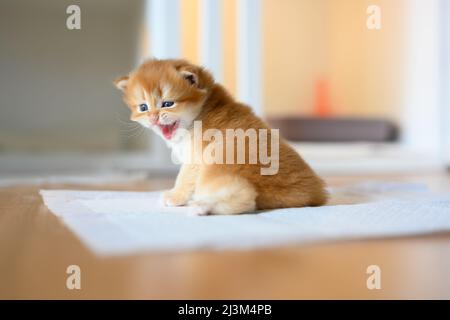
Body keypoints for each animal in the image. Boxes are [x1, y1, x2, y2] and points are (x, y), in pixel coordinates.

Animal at [114, 59, 326, 216]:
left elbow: (184, 177)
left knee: (246, 199)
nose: (153, 117)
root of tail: (313, 194)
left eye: (167, 104)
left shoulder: (196, 158)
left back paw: (203, 207)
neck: (201, 111)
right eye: (143, 107)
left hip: (221, 159)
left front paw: (175, 196)